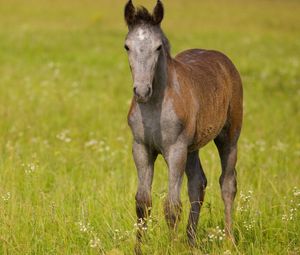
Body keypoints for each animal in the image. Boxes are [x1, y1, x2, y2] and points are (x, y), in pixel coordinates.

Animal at [123, 0, 243, 251]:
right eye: (127, 46)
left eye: (158, 47)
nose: (141, 91)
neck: (155, 104)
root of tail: (224, 61)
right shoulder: (141, 148)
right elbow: (142, 202)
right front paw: (138, 248)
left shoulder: (175, 149)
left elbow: (172, 206)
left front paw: (172, 247)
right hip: (192, 148)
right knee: (198, 183)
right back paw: (191, 242)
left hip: (229, 136)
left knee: (227, 184)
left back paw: (229, 241)